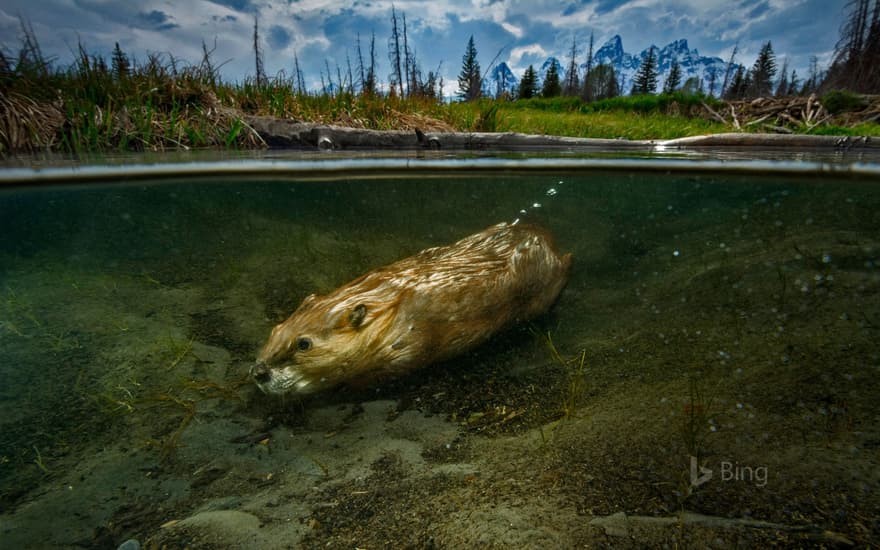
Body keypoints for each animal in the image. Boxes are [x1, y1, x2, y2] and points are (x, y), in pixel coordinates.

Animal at [251, 222, 576, 398]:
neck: (387, 303)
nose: (258, 372)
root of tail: (549, 239)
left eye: (304, 344)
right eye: (276, 329)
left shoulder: (408, 342)